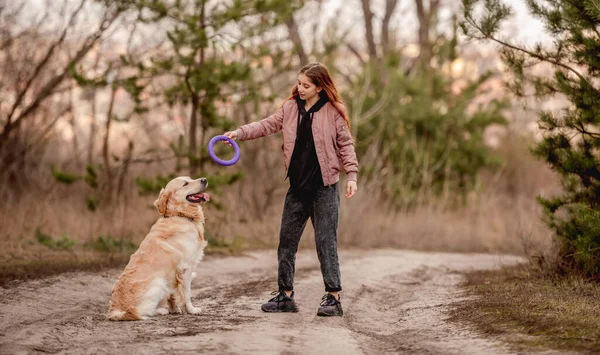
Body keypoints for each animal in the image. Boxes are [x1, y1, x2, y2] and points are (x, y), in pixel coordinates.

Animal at [106, 177, 210, 322]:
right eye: (185, 184)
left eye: (190, 178)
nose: (204, 180)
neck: (180, 215)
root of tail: (114, 311)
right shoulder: (185, 268)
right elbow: (187, 294)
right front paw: (192, 310)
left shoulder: (174, 274)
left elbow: (173, 294)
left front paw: (174, 309)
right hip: (158, 283)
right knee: (140, 312)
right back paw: (160, 311)